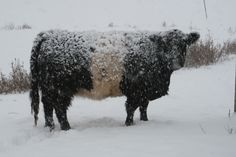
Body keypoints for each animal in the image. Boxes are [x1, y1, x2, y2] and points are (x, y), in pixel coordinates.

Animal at [29, 29, 199, 130]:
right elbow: (131, 109)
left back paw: (49, 127)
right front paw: (129, 124)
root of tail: (47, 35)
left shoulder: (144, 91)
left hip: (49, 89)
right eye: (165, 45)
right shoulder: (136, 90)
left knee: (48, 107)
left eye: (183, 44)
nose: (175, 62)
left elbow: (144, 108)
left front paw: (145, 121)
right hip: (60, 89)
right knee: (59, 109)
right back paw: (66, 128)